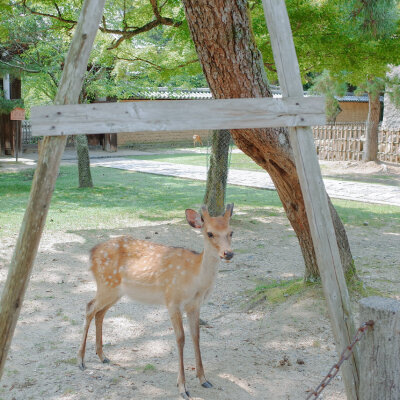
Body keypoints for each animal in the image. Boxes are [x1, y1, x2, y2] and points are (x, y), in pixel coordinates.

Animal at [77, 205, 234, 398]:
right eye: (210, 233)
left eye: (231, 232)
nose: (228, 253)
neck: (195, 280)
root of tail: (91, 253)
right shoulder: (172, 299)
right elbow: (180, 338)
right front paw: (182, 387)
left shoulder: (195, 305)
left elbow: (196, 336)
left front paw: (204, 379)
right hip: (106, 284)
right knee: (89, 307)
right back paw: (81, 360)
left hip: (115, 291)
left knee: (100, 313)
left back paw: (103, 356)